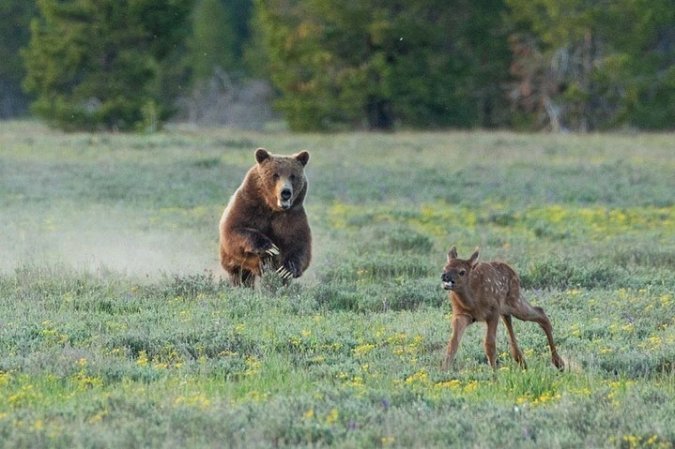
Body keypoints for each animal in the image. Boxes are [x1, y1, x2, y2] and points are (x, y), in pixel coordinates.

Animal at [219, 149, 312, 286]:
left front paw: (287, 269)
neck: (272, 207)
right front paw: (269, 247)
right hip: (233, 262)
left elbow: (299, 242)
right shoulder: (248, 205)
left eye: (293, 176)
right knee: (240, 275)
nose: (285, 192)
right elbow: (233, 230)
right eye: (275, 175)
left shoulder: (292, 215)